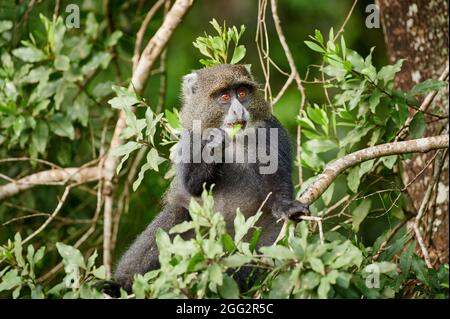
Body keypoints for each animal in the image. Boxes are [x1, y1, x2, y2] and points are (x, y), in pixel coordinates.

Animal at [112, 63, 310, 294]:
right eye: (224, 96)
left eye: (242, 93)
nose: (238, 110)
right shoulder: (190, 137)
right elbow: (192, 187)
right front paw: (215, 145)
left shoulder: (271, 129)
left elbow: (276, 182)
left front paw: (287, 206)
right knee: (175, 215)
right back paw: (117, 285)